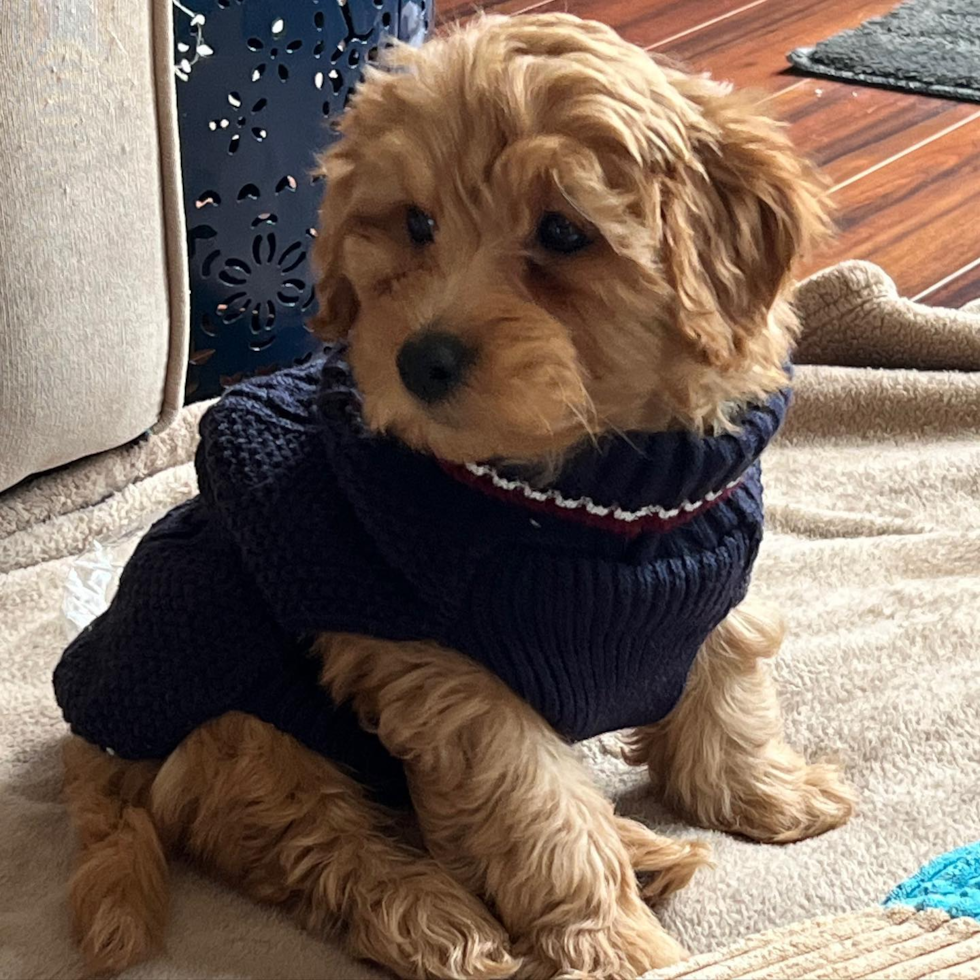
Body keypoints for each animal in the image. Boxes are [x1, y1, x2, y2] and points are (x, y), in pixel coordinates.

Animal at [55, 15, 848, 980]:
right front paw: (619, 947)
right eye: (416, 222)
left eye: (563, 231)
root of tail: (94, 750)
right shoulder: (442, 672)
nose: (419, 360)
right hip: (248, 734)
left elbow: (728, 684)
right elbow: (540, 817)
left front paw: (764, 795)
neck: (594, 495)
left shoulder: (714, 573)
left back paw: (647, 851)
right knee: (337, 852)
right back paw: (447, 927)